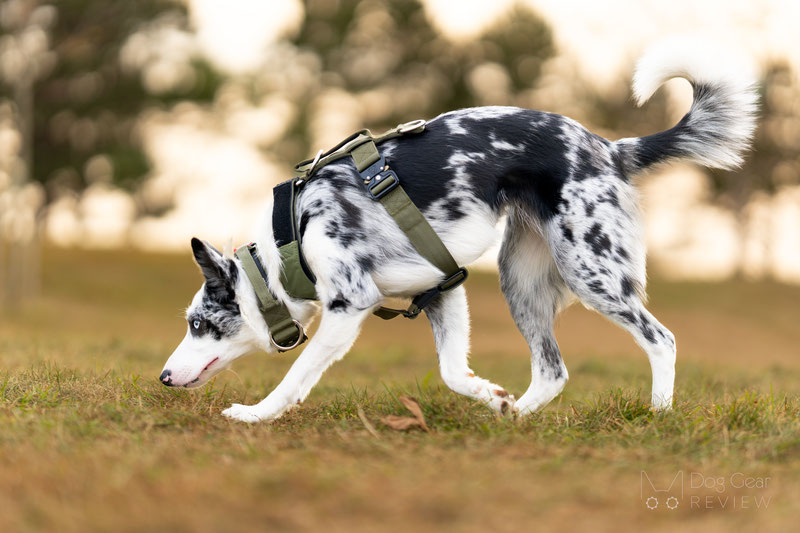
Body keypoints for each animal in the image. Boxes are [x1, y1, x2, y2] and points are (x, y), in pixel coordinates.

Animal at [158, 39, 756, 422]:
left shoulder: (349, 307)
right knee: (552, 370)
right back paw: (513, 417)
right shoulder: (440, 290)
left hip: (592, 271)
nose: (162, 378)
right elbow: (451, 373)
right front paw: (491, 397)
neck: (288, 248)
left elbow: (294, 378)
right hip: (522, 281)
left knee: (661, 340)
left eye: (198, 324)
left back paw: (659, 415)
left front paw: (254, 415)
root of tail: (609, 149)